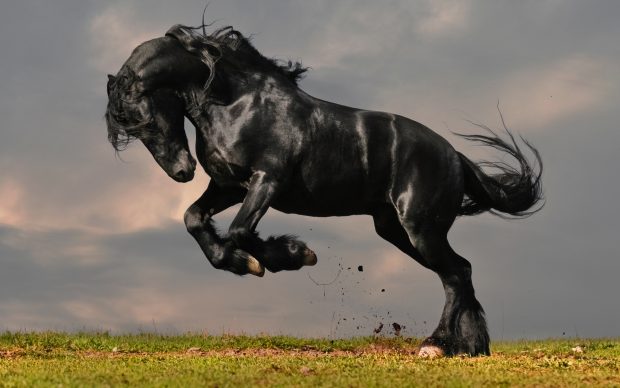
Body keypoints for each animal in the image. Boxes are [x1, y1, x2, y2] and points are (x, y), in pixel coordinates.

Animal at [106, 25, 544, 358]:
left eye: (145, 119)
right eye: (130, 128)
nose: (182, 172)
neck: (237, 103)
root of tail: (454, 156)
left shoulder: (267, 181)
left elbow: (240, 231)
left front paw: (291, 255)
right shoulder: (229, 185)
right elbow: (194, 219)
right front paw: (242, 262)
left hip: (421, 229)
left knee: (456, 274)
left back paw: (436, 345)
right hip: (396, 230)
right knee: (460, 272)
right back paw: (469, 347)